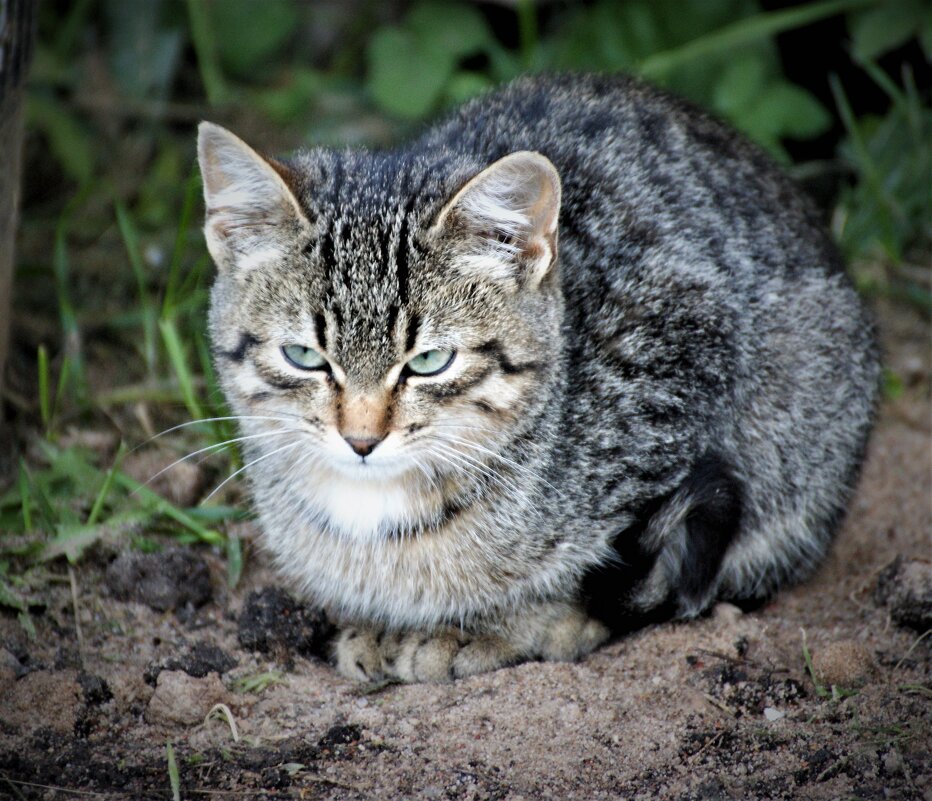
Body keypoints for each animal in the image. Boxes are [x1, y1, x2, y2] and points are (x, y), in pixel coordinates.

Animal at [197, 73, 880, 680]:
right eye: (304, 357)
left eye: (429, 362)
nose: (361, 440)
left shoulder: (685, 351)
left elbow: (604, 578)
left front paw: (505, 628)